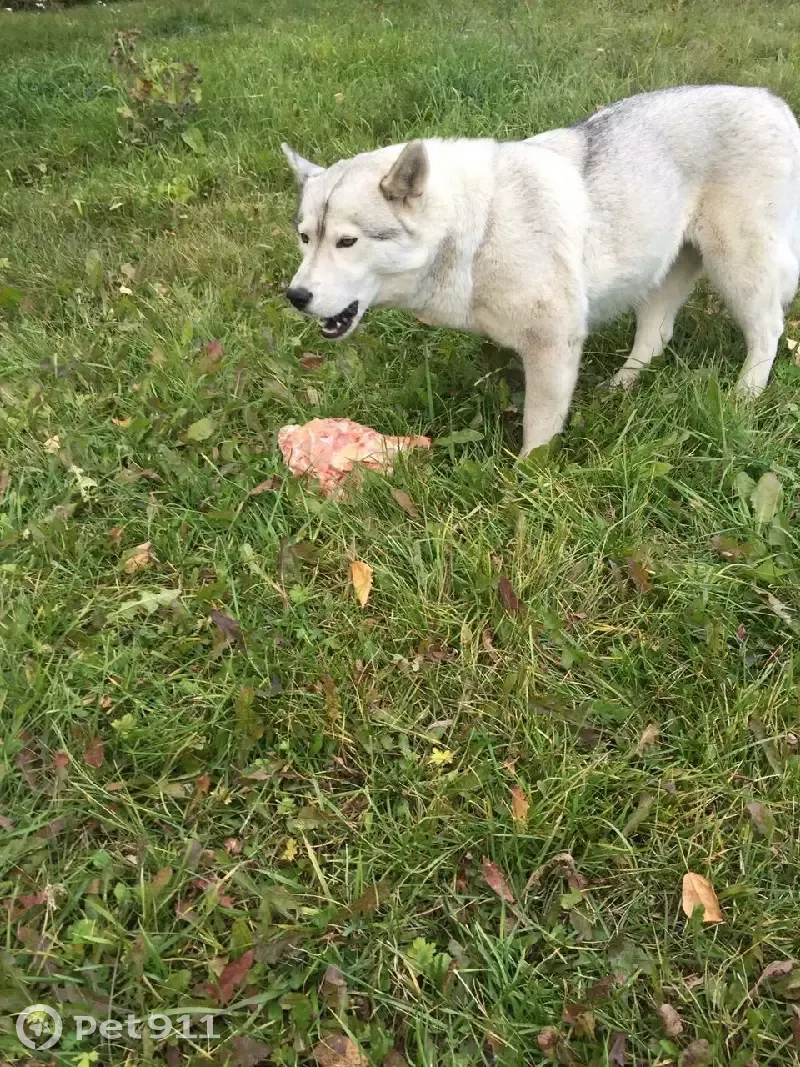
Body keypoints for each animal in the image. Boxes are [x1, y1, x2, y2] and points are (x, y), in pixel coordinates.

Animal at [281, 86, 800, 454]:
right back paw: (621, 386)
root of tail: (772, 102)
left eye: (347, 242)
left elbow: (538, 428)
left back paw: (745, 396)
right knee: (656, 336)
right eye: (305, 237)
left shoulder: (553, 344)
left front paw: (529, 482)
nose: (296, 296)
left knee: (767, 330)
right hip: (662, 269)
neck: (479, 226)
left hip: (736, 266)